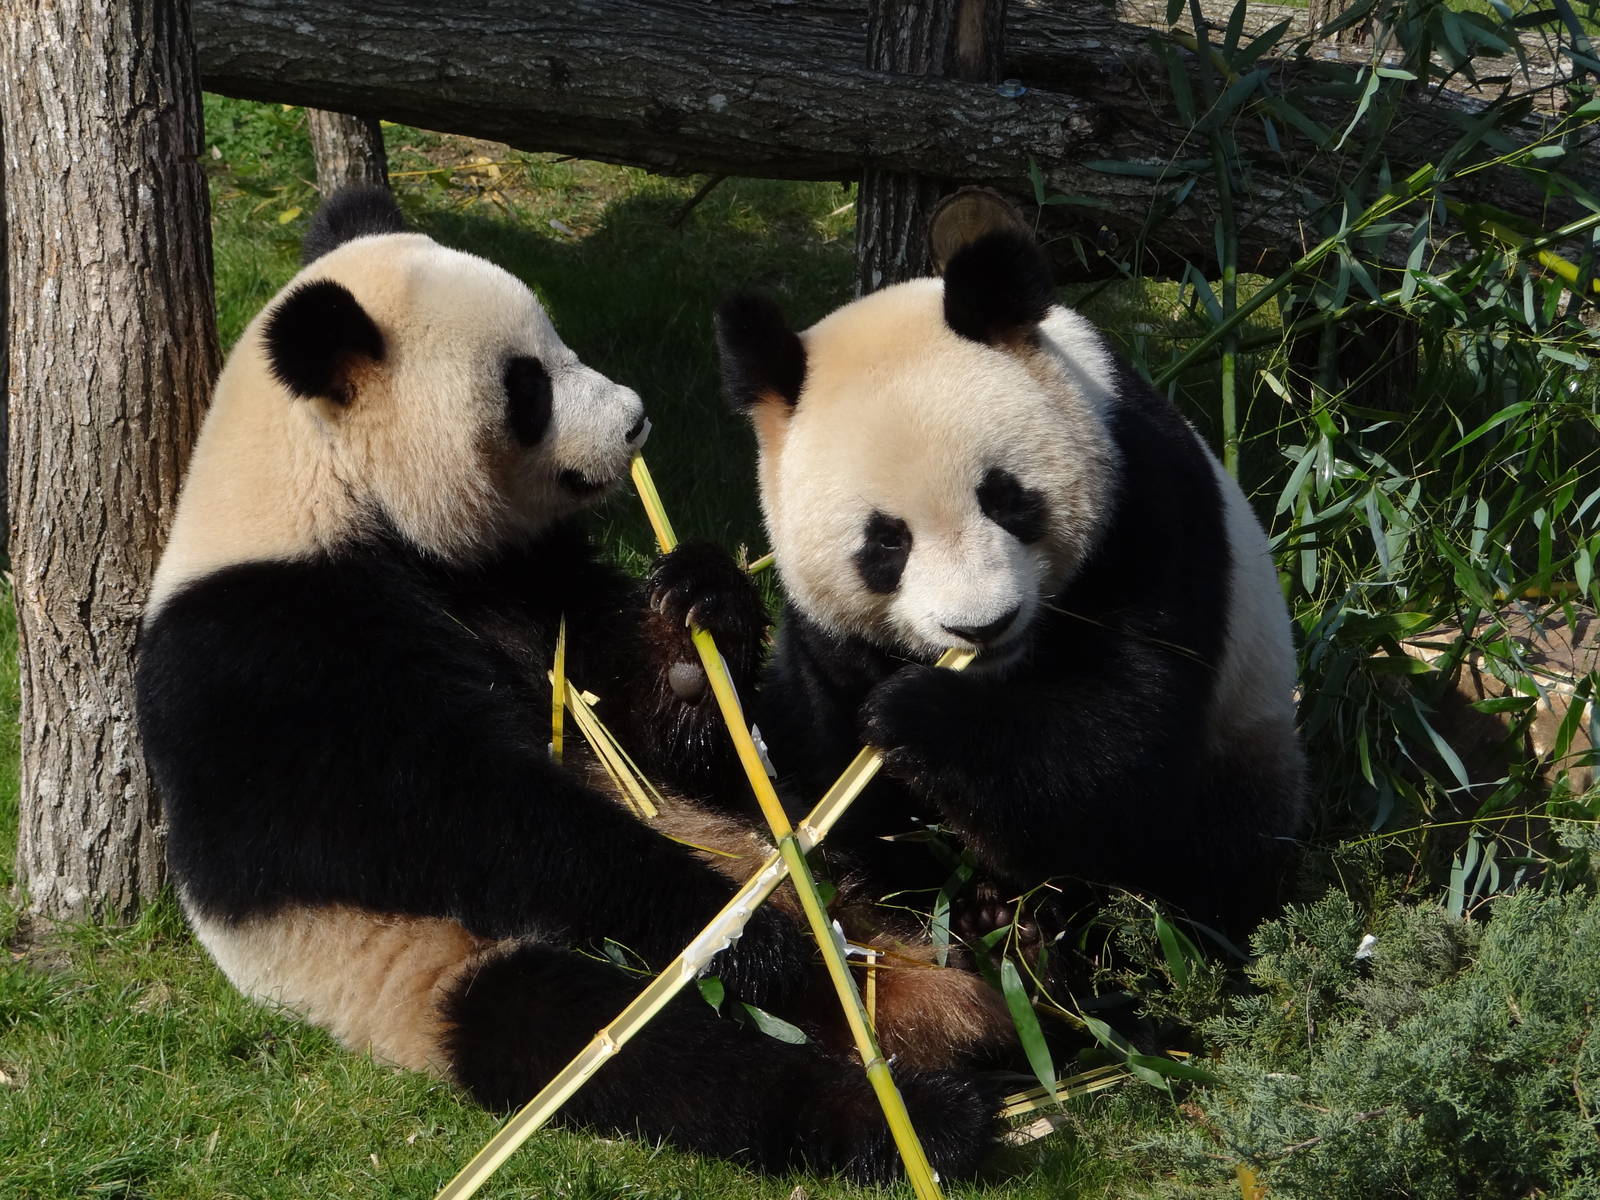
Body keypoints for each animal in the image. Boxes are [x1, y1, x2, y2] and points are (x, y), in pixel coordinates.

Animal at [133, 188, 1007, 1181]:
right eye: (528, 387)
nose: (635, 419)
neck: (322, 487)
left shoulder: (523, 578)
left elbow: (636, 719)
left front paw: (700, 606)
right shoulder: (273, 652)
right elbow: (458, 816)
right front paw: (738, 931)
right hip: (434, 965)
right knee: (632, 1049)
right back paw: (913, 1107)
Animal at [713, 229, 1308, 941]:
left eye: (1005, 498)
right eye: (887, 541)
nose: (982, 626)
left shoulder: (1148, 503)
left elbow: (1123, 746)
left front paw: (915, 712)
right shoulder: (820, 635)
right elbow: (822, 775)